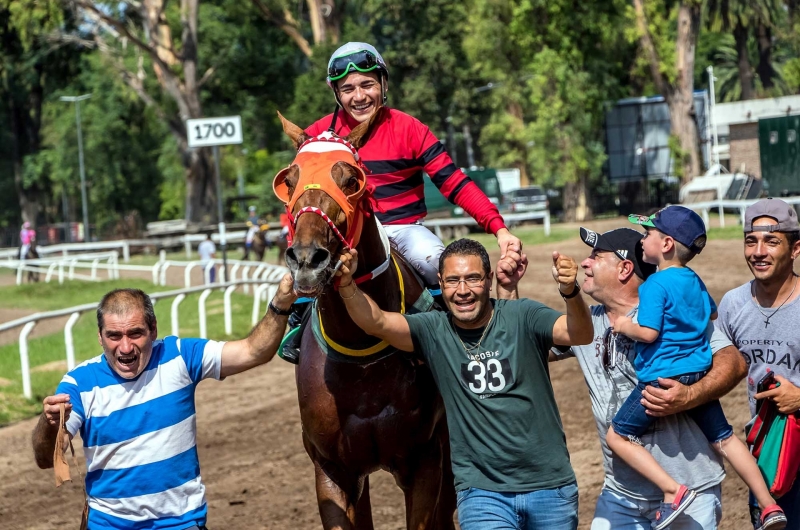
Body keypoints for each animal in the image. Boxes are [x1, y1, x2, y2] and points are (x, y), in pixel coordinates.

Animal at [272, 111, 454, 528]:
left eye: (352, 180)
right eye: (289, 181)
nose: (306, 259)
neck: (360, 352)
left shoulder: (424, 460)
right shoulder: (333, 470)